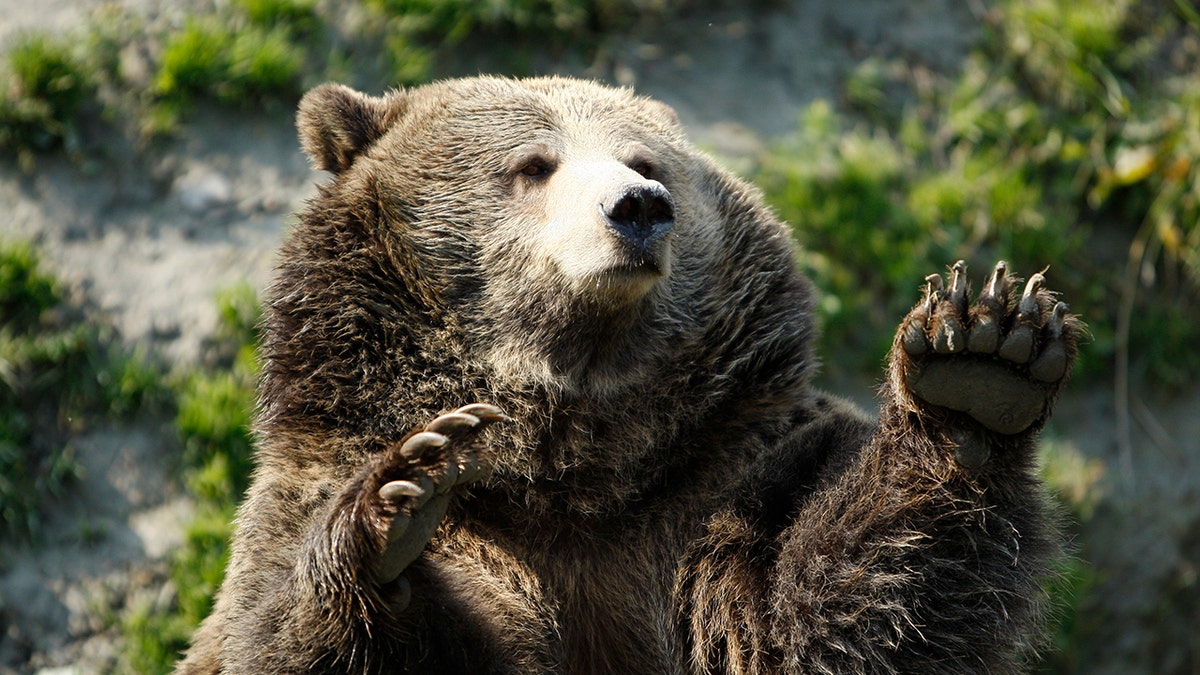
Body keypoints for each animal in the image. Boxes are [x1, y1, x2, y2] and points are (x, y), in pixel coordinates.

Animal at [174, 76, 1084, 667]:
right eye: (533, 163)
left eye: (646, 159)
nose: (639, 206)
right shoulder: (317, 494)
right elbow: (284, 628)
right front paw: (399, 497)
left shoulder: (713, 489)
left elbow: (818, 620)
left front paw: (979, 367)